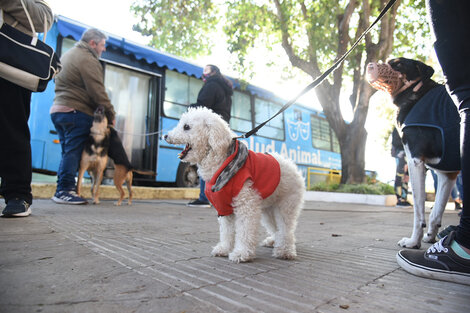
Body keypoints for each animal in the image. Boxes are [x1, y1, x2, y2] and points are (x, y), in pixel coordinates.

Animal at [165, 106, 304, 260]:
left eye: (186, 127)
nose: (165, 136)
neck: (222, 163)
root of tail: (293, 166)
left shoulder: (246, 204)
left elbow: (244, 230)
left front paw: (241, 253)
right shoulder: (223, 206)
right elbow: (226, 231)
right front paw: (224, 249)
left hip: (286, 204)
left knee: (286, 228)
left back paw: (285, 251)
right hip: (268, 208)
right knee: (276, 228)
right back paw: (273, 241)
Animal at [366, 58, 460, 249]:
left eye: (398, 64)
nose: (369, 65)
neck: (416, 94)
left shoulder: (414, 161)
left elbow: (418, 211)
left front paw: (413, 241)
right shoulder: (447, 173)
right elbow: (436, 211)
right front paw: (430, 236)